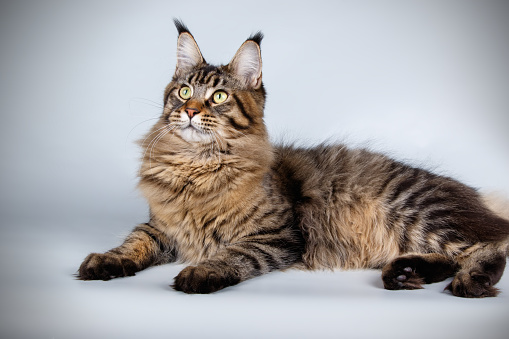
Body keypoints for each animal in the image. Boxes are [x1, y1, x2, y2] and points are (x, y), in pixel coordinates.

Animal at [76, 19, 508, 298]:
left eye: (219, 96)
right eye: (183, 92)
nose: (191, 111)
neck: (196, 169)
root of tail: (477, 197)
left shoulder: (279, 235)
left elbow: (235, 253)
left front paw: (202, 271)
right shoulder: (161, 227)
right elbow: (133, 243)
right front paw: (106, 261)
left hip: (418, 213)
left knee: (490, 246)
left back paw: (470, 283)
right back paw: (405, 274)